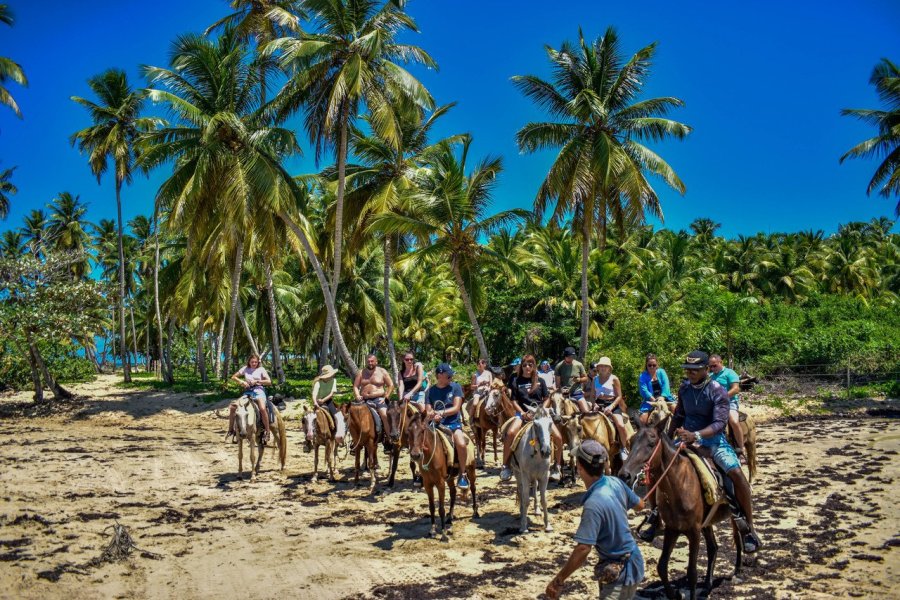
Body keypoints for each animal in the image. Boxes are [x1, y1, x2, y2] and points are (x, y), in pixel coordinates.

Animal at [406, 410, 478, 540]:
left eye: (422, 430)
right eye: (408, 431)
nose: (415, 455)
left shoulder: (440, 483)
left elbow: (441, 509)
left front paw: (443, 533)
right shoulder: (428, 484)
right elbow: (432, 507)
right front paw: (432, 530)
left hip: (471, 469)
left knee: (473, 488)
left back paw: (475, 512)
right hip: (449, 477)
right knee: (453, 492)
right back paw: (450, 518)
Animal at [616, 420, 740, 596]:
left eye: (651, 443)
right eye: (631, 442)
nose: (624, 475)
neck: (680, 485)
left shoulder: (694, 532)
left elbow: (692, 573)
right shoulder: (672, 529)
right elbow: (661, 566)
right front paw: (674, 594)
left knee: (738, 538)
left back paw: (739, 566)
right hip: (706, 524)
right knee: (713, 548)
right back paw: (707, 585)